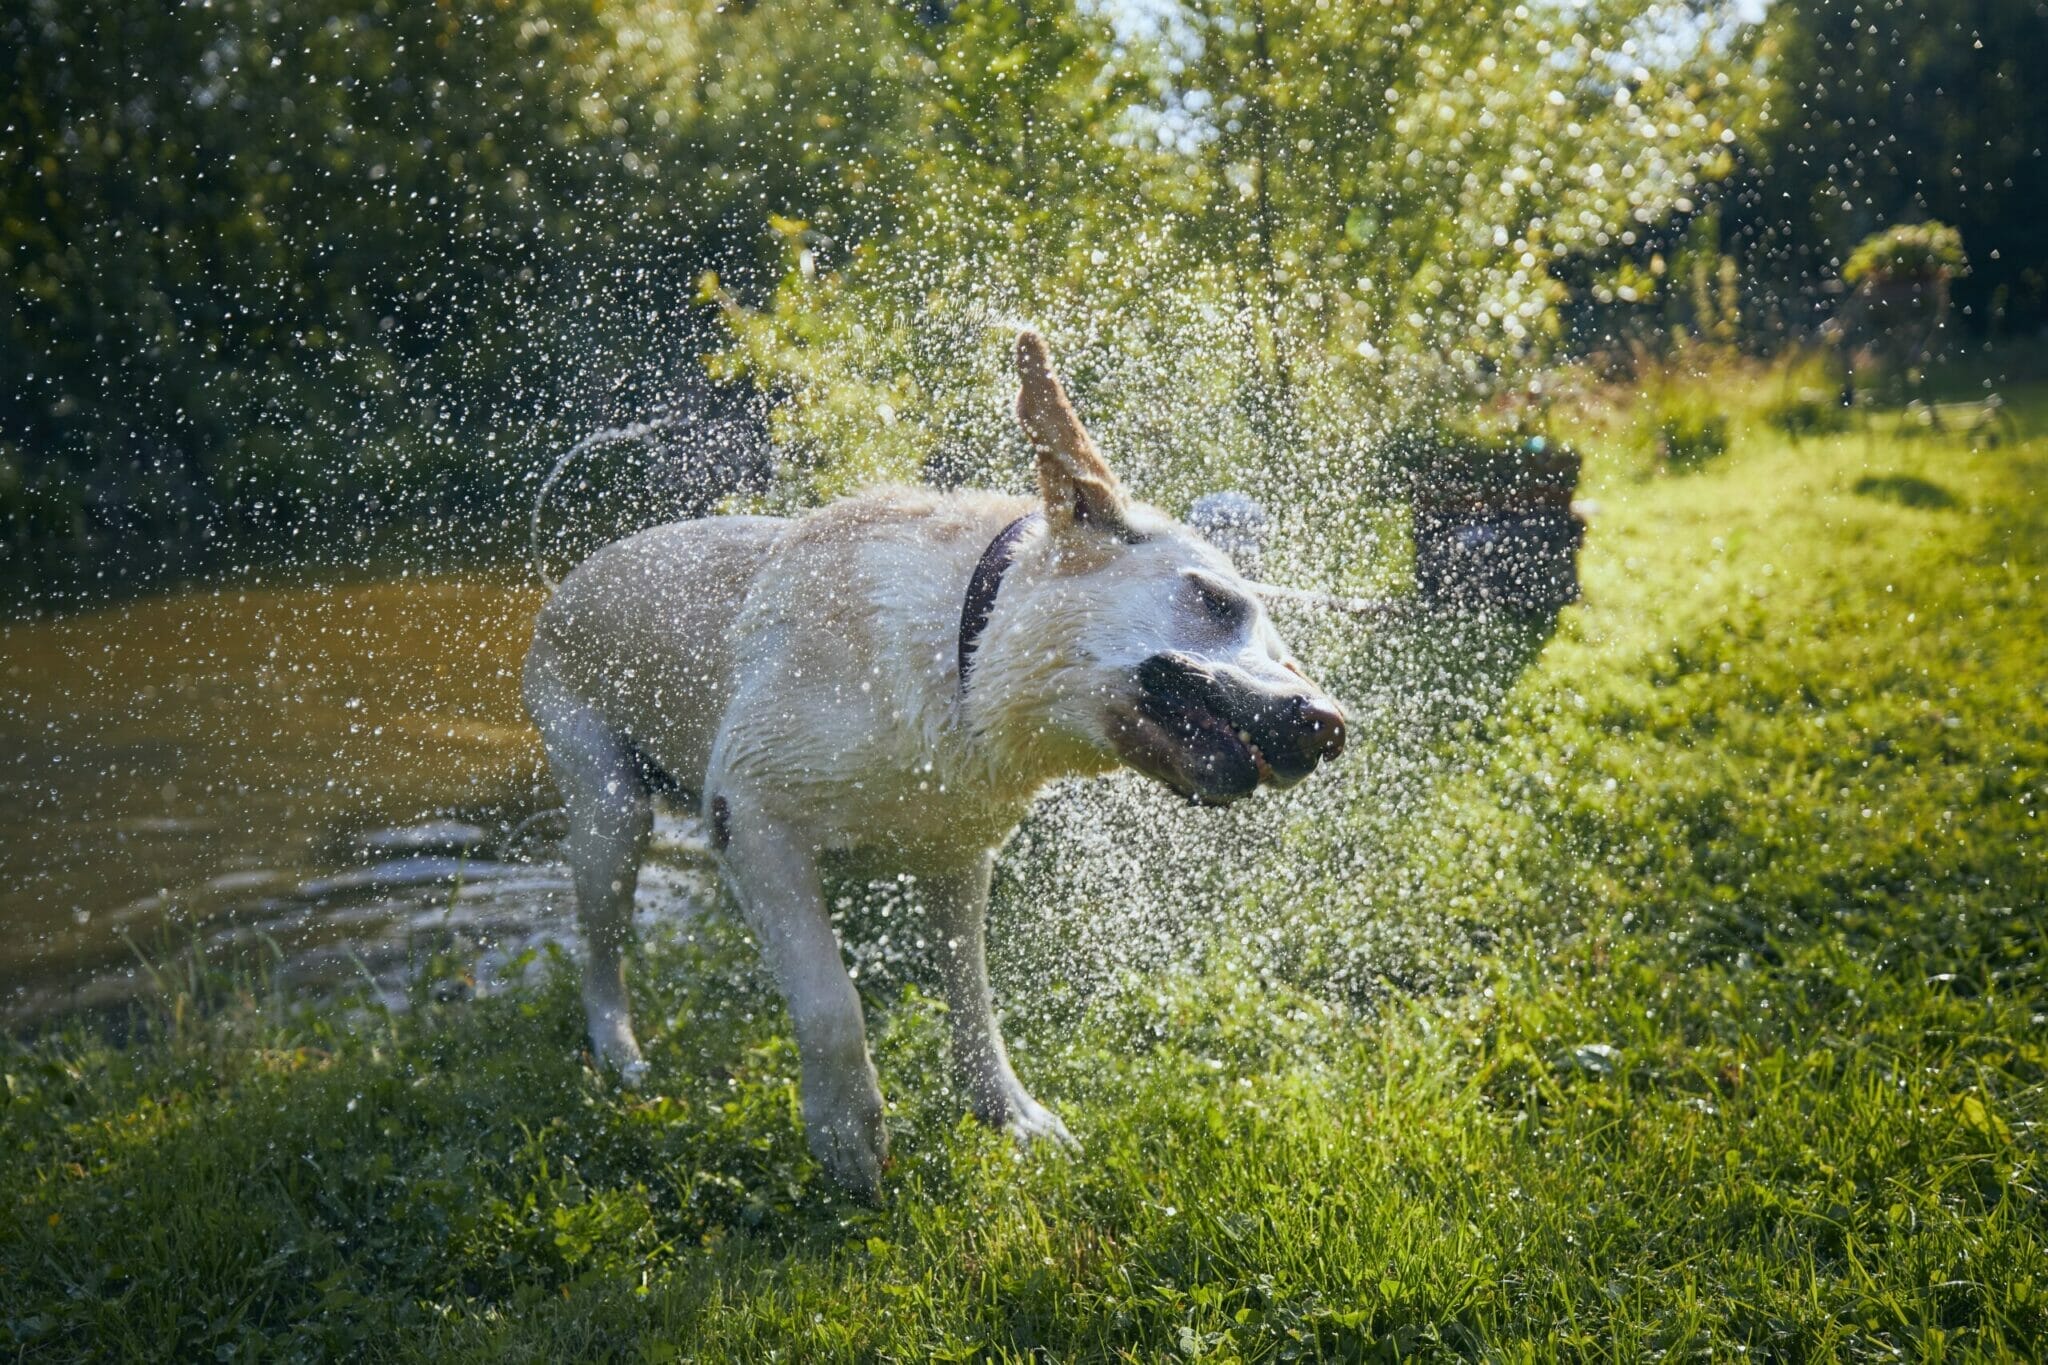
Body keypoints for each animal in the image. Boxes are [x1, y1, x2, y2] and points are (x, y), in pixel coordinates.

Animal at [524, 331, 1343, 1195]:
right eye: (1217, 602)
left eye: (1286, 651)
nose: (1329, 724)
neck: (960, 656)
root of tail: (566, 576)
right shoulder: (751, 817)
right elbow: (830, 1000)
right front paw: (848, 1131)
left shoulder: (957, 857)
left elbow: (972, 994)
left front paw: (1008, 1112)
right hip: (610, 811)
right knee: (601, 952)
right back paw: (618, 1052)